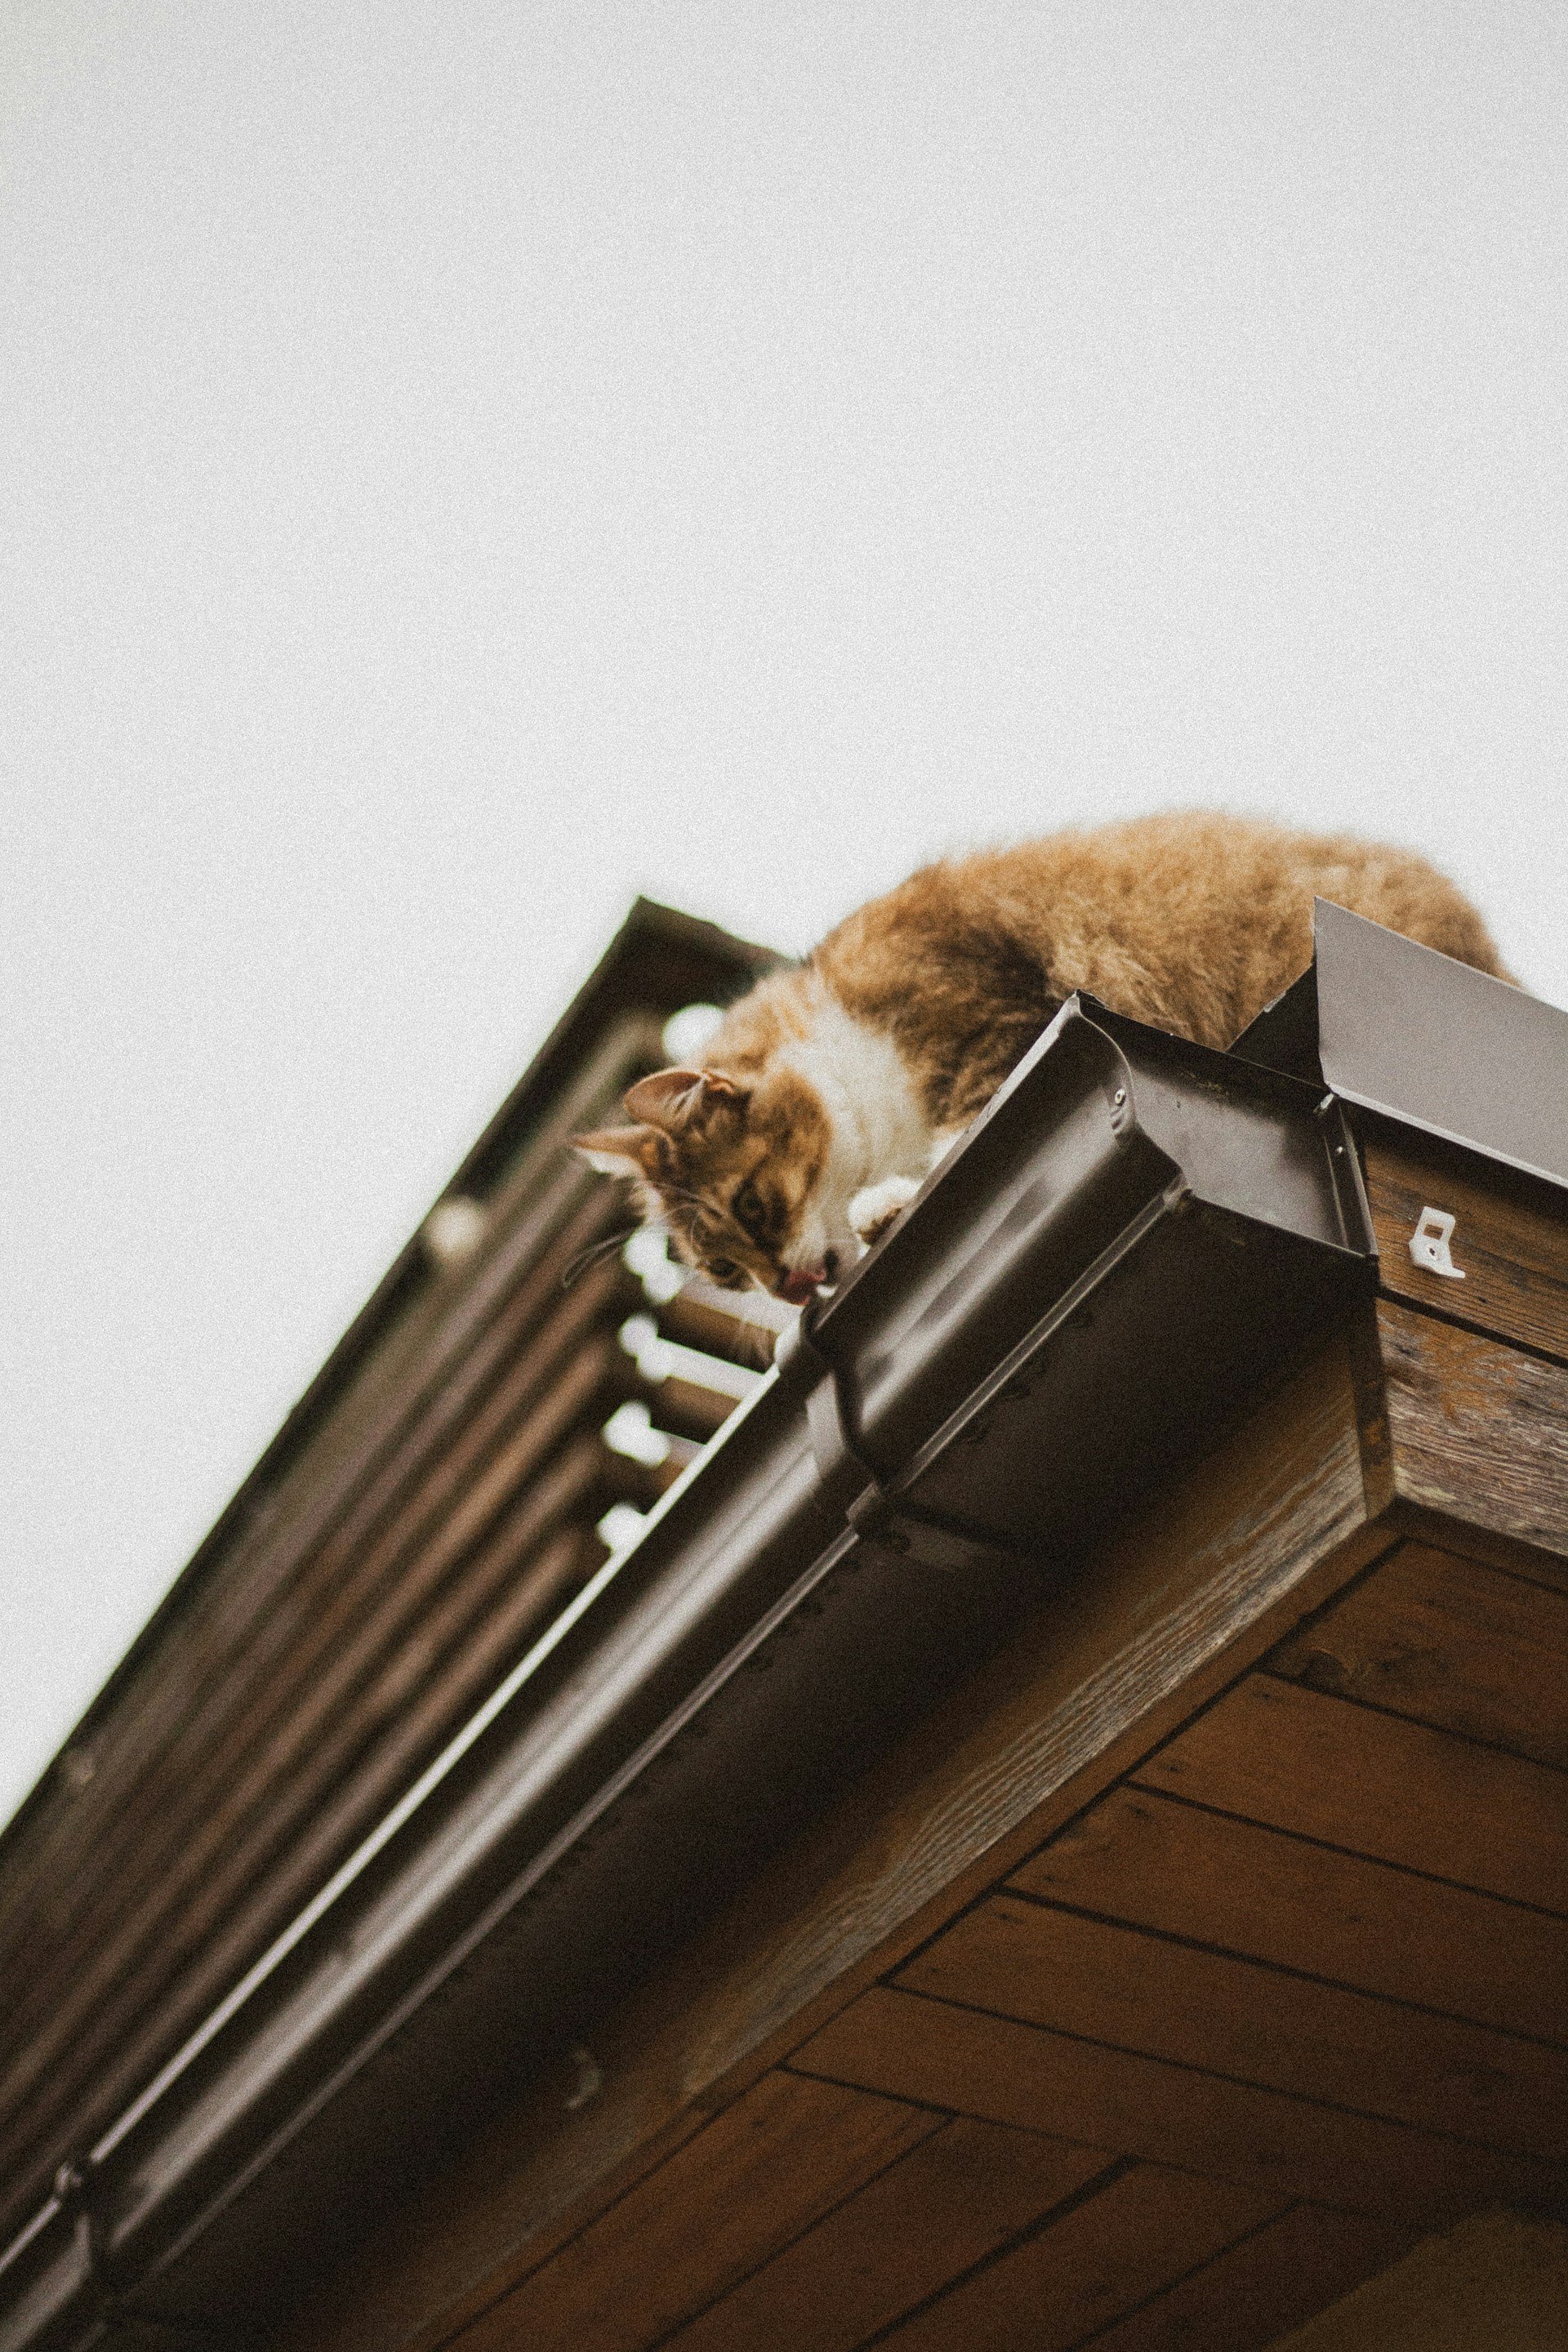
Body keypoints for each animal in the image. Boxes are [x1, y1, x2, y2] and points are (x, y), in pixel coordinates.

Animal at [576, 813, 1504, 1307]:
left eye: (753, 1206)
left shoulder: (991, 1012)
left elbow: (967, 1123)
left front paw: (891, 1200)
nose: (789, 1294)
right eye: (725, 1271)